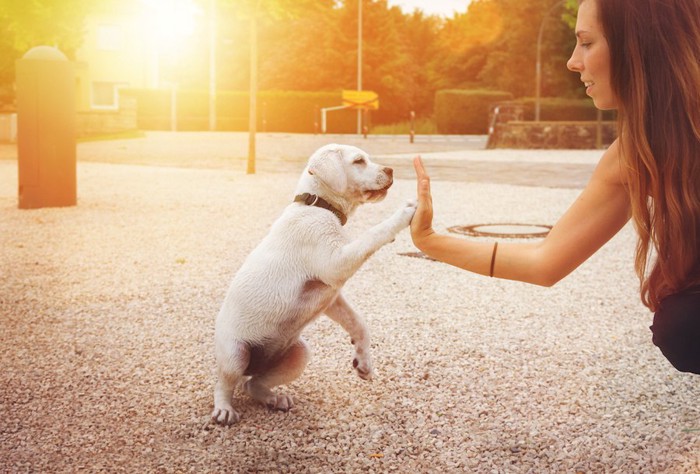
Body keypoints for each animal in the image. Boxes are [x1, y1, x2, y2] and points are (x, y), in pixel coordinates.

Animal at [212, 143, 416, 424]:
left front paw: (363, 361)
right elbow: (373, 234)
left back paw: (274, 399)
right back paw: (224, 409)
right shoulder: (335, 264)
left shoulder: (331, 295)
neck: (318, 206)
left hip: (299, 355)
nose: (391, 170)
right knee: (225, 383)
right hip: (235, 355)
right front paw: (404, 214)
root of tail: (254, 366)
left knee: (252, 384)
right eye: (359, 161)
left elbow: (358, 323)